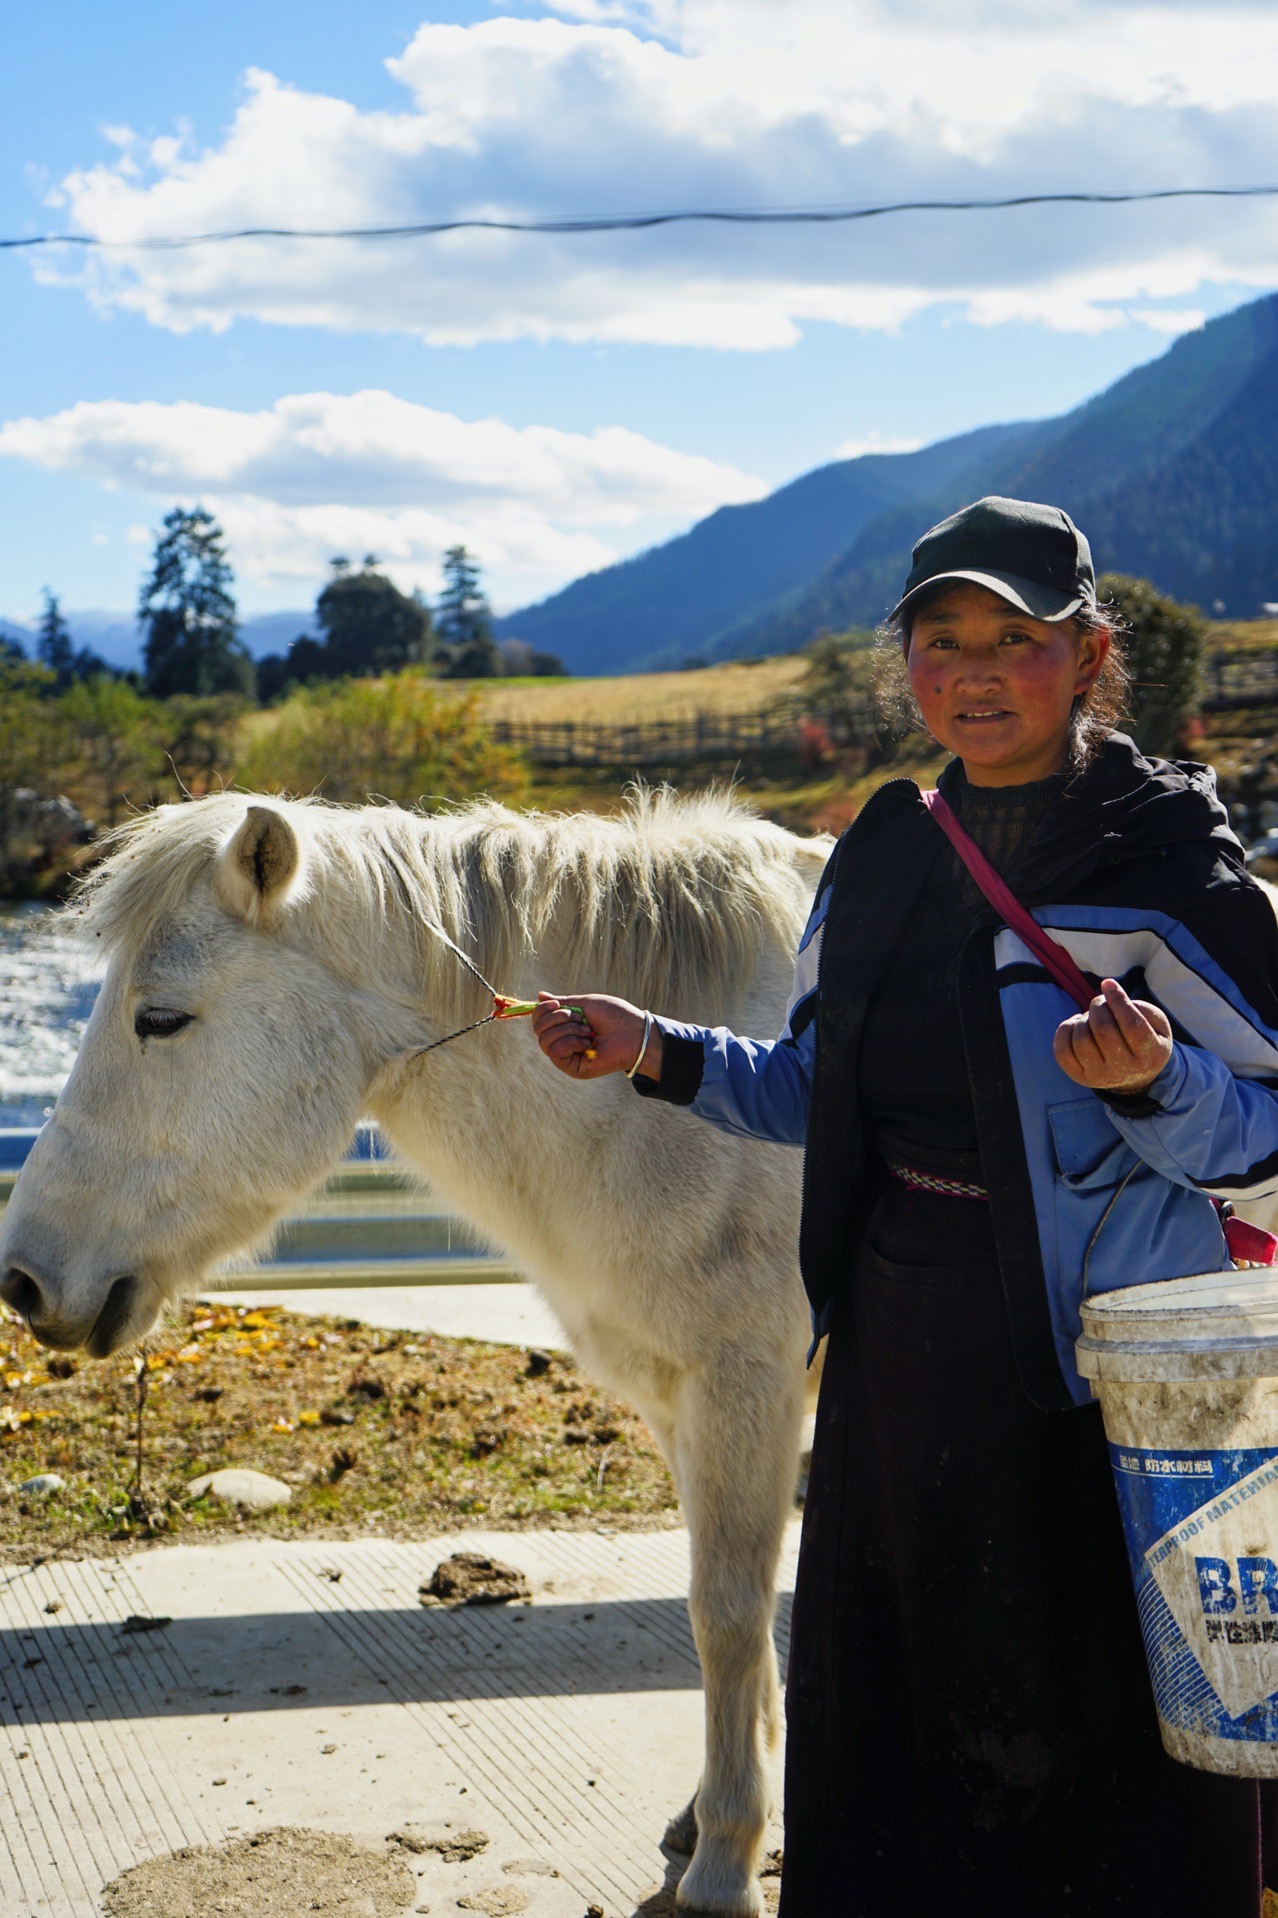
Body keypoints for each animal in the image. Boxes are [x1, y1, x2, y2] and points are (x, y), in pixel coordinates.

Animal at [2, 786, 825, 1910]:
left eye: (160, 1018)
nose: (22, 1278)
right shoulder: (682, 1401)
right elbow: (721, 1618)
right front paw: (708, 1817)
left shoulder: (746, 1387)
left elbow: (729, 1616)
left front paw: (725, 1865)